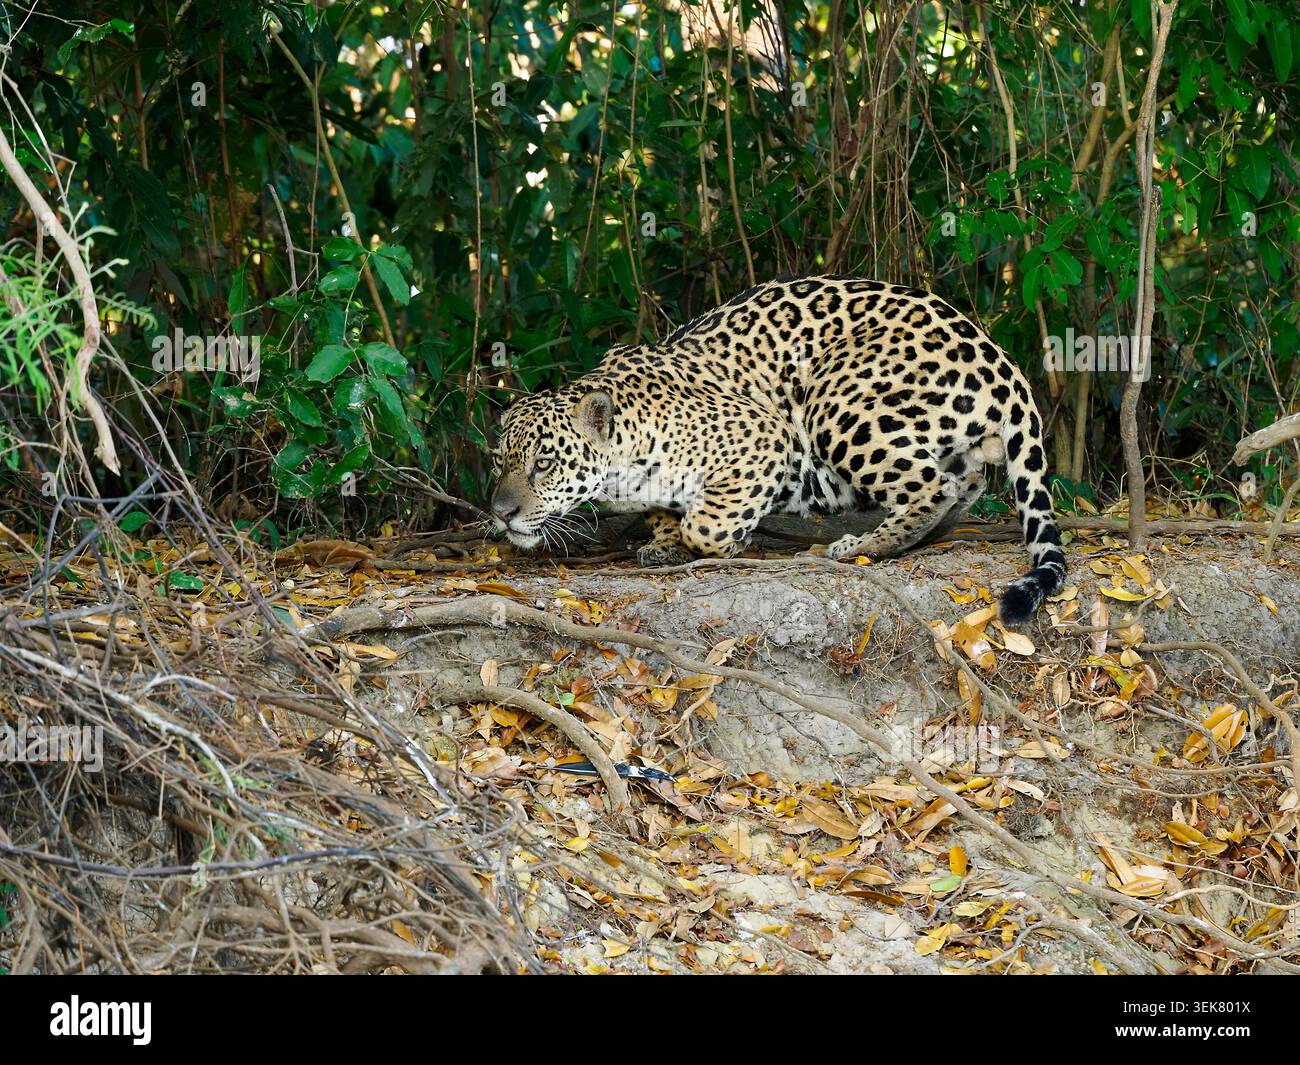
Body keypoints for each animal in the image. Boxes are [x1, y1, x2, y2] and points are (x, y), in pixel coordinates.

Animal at [489, 275, 1067, 624]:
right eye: (501, 461)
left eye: (544, 463)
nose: (500, 512)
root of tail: (1000, 359)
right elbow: (665, 514)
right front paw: (663, 543)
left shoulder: (766, 436)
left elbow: (707, 524)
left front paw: (721, 542)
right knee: (962, 482)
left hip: (836, 403)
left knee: (931, 488)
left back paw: (861, 546)